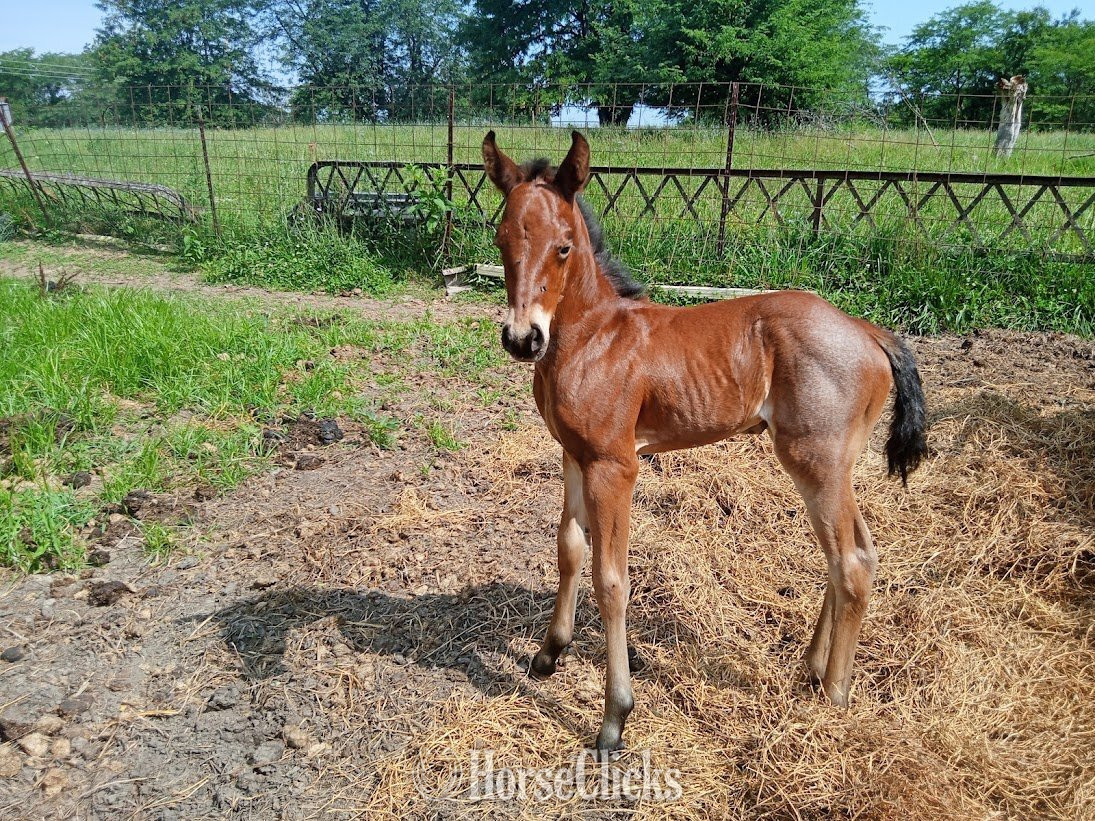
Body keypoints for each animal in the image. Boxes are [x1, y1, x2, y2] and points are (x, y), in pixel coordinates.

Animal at [482, 129, 928, 757]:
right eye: (501, 239)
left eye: (564, 247)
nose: (523, 339)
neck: (596, 335)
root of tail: (868, 331)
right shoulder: (573, 452)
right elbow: (569, 547)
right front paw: (549, 653)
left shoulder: (615, 464)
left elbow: (611, 580)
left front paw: (615, 718)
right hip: (833, 466)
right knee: (845, 553)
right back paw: (810, 670)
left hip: (815, 462)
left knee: (853, 561)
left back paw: (835, 697)